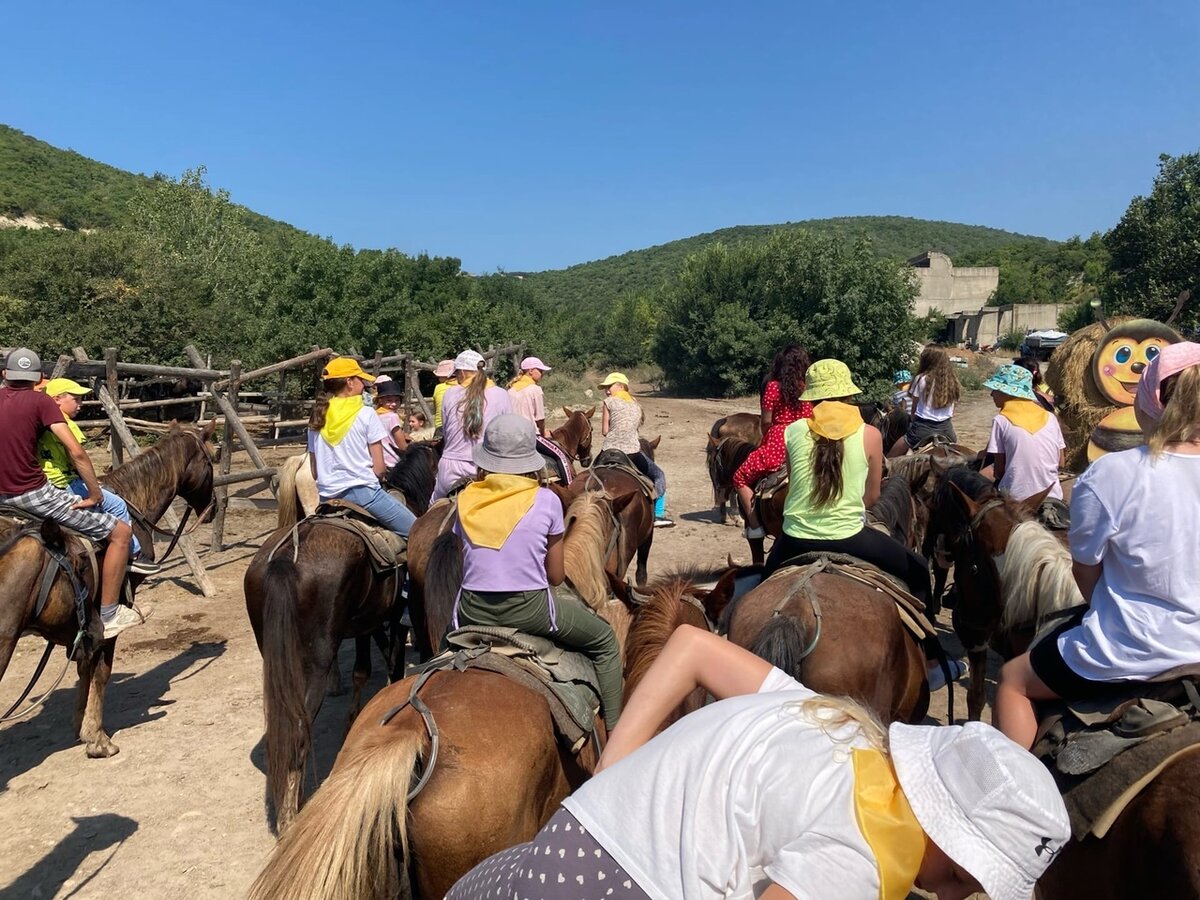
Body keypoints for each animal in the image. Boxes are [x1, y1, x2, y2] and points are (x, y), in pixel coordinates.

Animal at [0, 422, 218, 753]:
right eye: (210, 461)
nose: (216, 506)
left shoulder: (83, 625)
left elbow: (84, 668)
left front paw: (81, 724)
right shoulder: (111, 606)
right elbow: (102, 669)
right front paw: (97, 737)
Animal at [242, 441, 436, 835]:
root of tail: (284, 560)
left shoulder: (364, 623)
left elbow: (363, 667)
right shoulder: (395, 617)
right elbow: (392, 662)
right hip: (314, 660)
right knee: (299, 728)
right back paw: (290, 816)